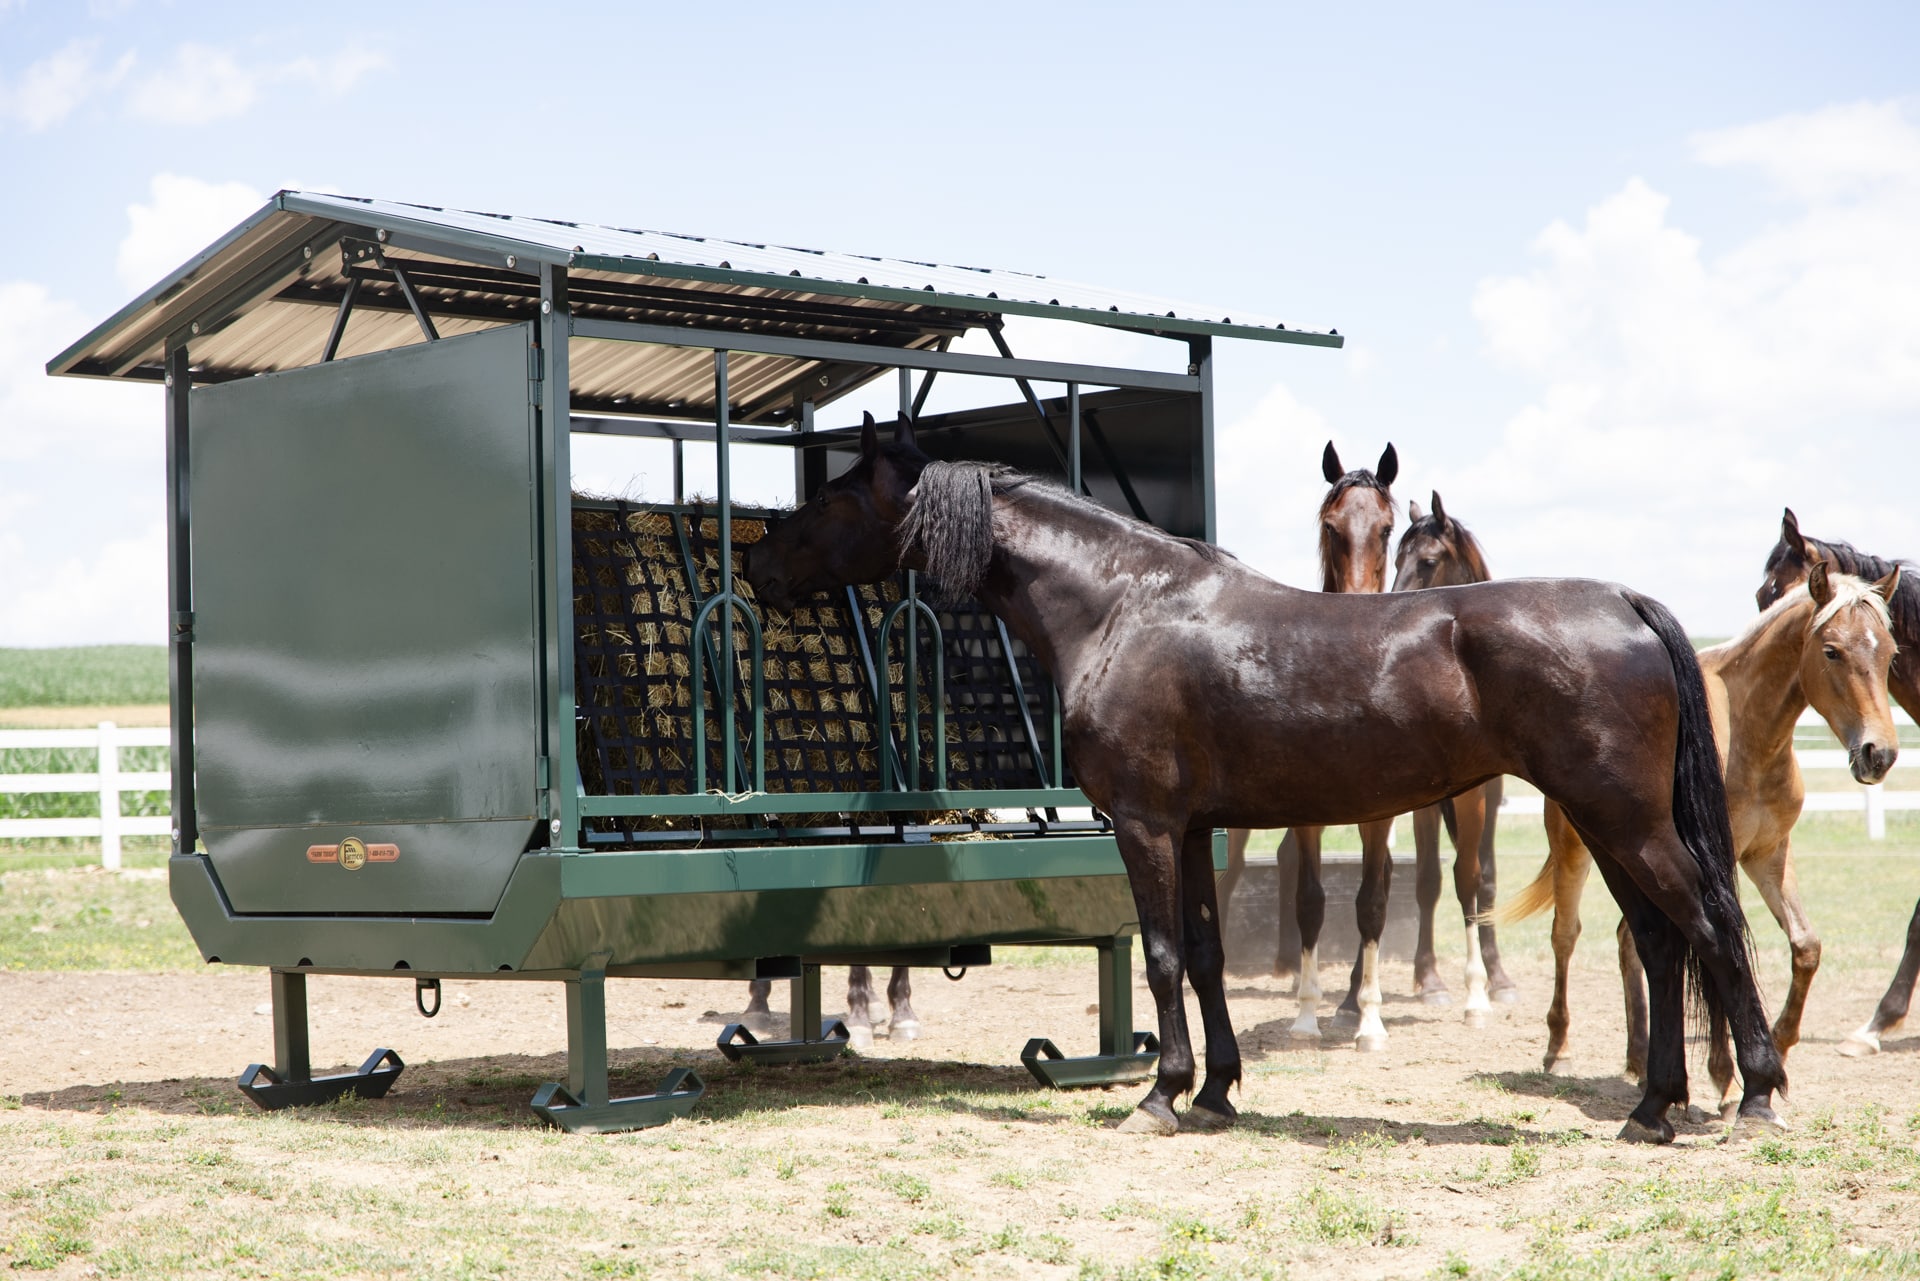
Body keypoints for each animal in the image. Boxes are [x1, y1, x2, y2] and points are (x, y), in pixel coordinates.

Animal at [745, 411, 1785, 1142]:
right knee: (1660, 939)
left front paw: (1160, 1094)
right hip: (1605, 823)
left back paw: (1757, 1096)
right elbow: (1206, 955)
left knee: (1710, 925)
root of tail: (1627, 600)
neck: (1122, 603)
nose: (757, 564)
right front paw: (1215, 1090)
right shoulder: (1198, 827)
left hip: (1625, 819)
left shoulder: (1145, 823)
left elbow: (1164, 953)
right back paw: (1652, 1108)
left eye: (835, 497)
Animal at [1503, 562, 1898, 1109]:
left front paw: (1777, 1047)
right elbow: (1721, 947)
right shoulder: (1720, 861)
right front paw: (1726, 1076)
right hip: (1576, 849)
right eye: (1831, 650)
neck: (1749, 735)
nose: (1879, 754)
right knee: (1566, 934)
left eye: (1890, 653)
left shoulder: (1770, 855)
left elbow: (1805, 946)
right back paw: (1559, 1050)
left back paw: (1639, 1060)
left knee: (1630, 938)